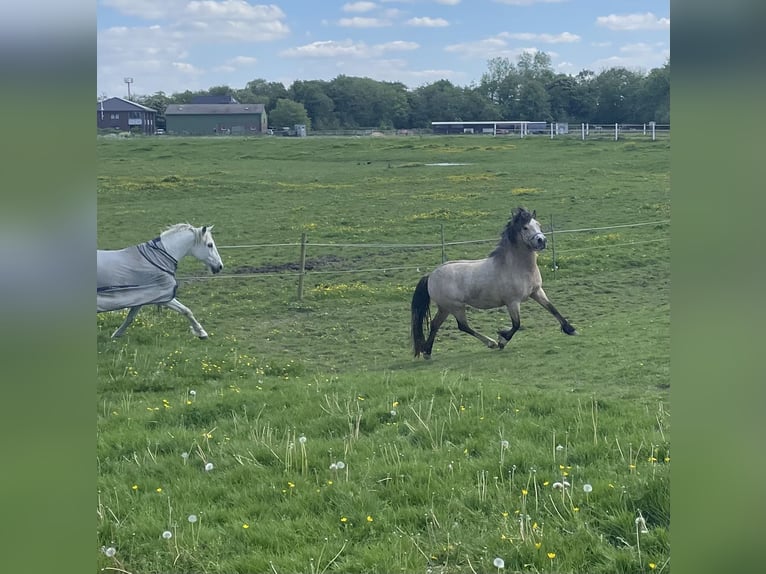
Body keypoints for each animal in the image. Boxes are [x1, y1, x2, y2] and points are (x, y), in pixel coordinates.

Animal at [412, 207, 580, 360]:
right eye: (525, 227)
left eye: (538, 224)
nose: (542, 241)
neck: (516, 267)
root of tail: (431, 275)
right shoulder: (512, 302)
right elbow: (517, 324)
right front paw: (502, 340)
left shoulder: (537, 292)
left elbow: (553, 309)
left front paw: (571, 330)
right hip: (455, 307)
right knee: (462, 326)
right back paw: (491, 343)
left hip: (445, 308)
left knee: (435, 324)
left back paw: (427, 352)